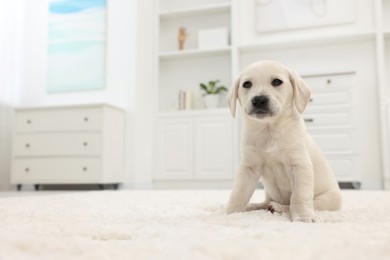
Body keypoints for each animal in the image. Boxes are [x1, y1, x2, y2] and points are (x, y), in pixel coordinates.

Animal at [225, 60, 342, 221]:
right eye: (246, 84)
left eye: (277, 81)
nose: (259, 100)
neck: (269, 130)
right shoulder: (249, 168)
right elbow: (238, 193)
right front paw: (230, 213)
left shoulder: (299, 165)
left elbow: (299, 195)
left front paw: (303, 217)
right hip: (269, 192)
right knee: (266, 202)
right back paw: (254, 206)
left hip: (328, 199)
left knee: (299, 203)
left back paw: (279, 207)